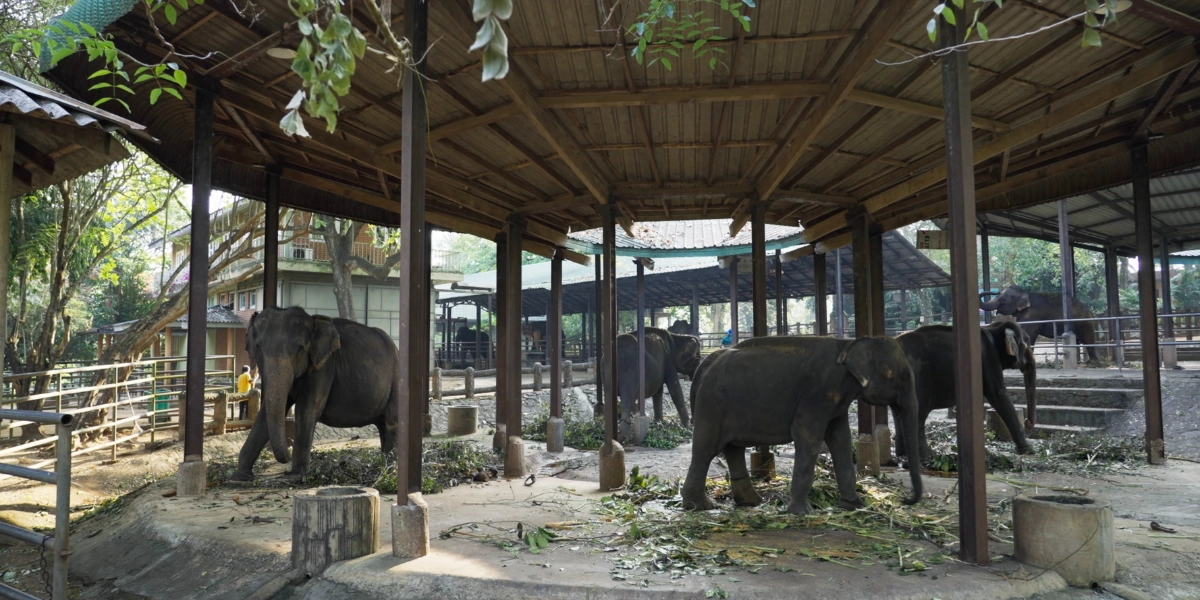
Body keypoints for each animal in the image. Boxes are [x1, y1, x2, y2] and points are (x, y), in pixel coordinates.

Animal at [233, 306, 400, 479]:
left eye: (300, 349)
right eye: (258, 347)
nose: (287, 456)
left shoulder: (323, 367)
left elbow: (307, 409)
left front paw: (296, 475)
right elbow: (267, 411)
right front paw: (240, 477)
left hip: (396, 377)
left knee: (392, 421)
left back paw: (390, 470)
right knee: (383, 425)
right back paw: (383, 467)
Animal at [681, 336, 923, 516]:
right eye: (902, 376)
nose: (905, 499)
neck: (849, 344)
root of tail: (703, 367)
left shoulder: (836, 400)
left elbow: (841, 439)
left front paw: (853, 505)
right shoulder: (819, 391)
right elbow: (807, 435)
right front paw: (803, 512)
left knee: (733, 449)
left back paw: (751, 502)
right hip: (712, 404)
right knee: (706, 450)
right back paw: (700, 506)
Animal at [893, 321, 1038, 459]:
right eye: (1027, 342)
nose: (1027, 422)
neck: (994, 327)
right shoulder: (988, 357)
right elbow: (997, 392)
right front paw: (1028, 451)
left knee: (899, 412)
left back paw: (902, 453)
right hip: (919, 375)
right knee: (919, 412)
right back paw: (927, 454)